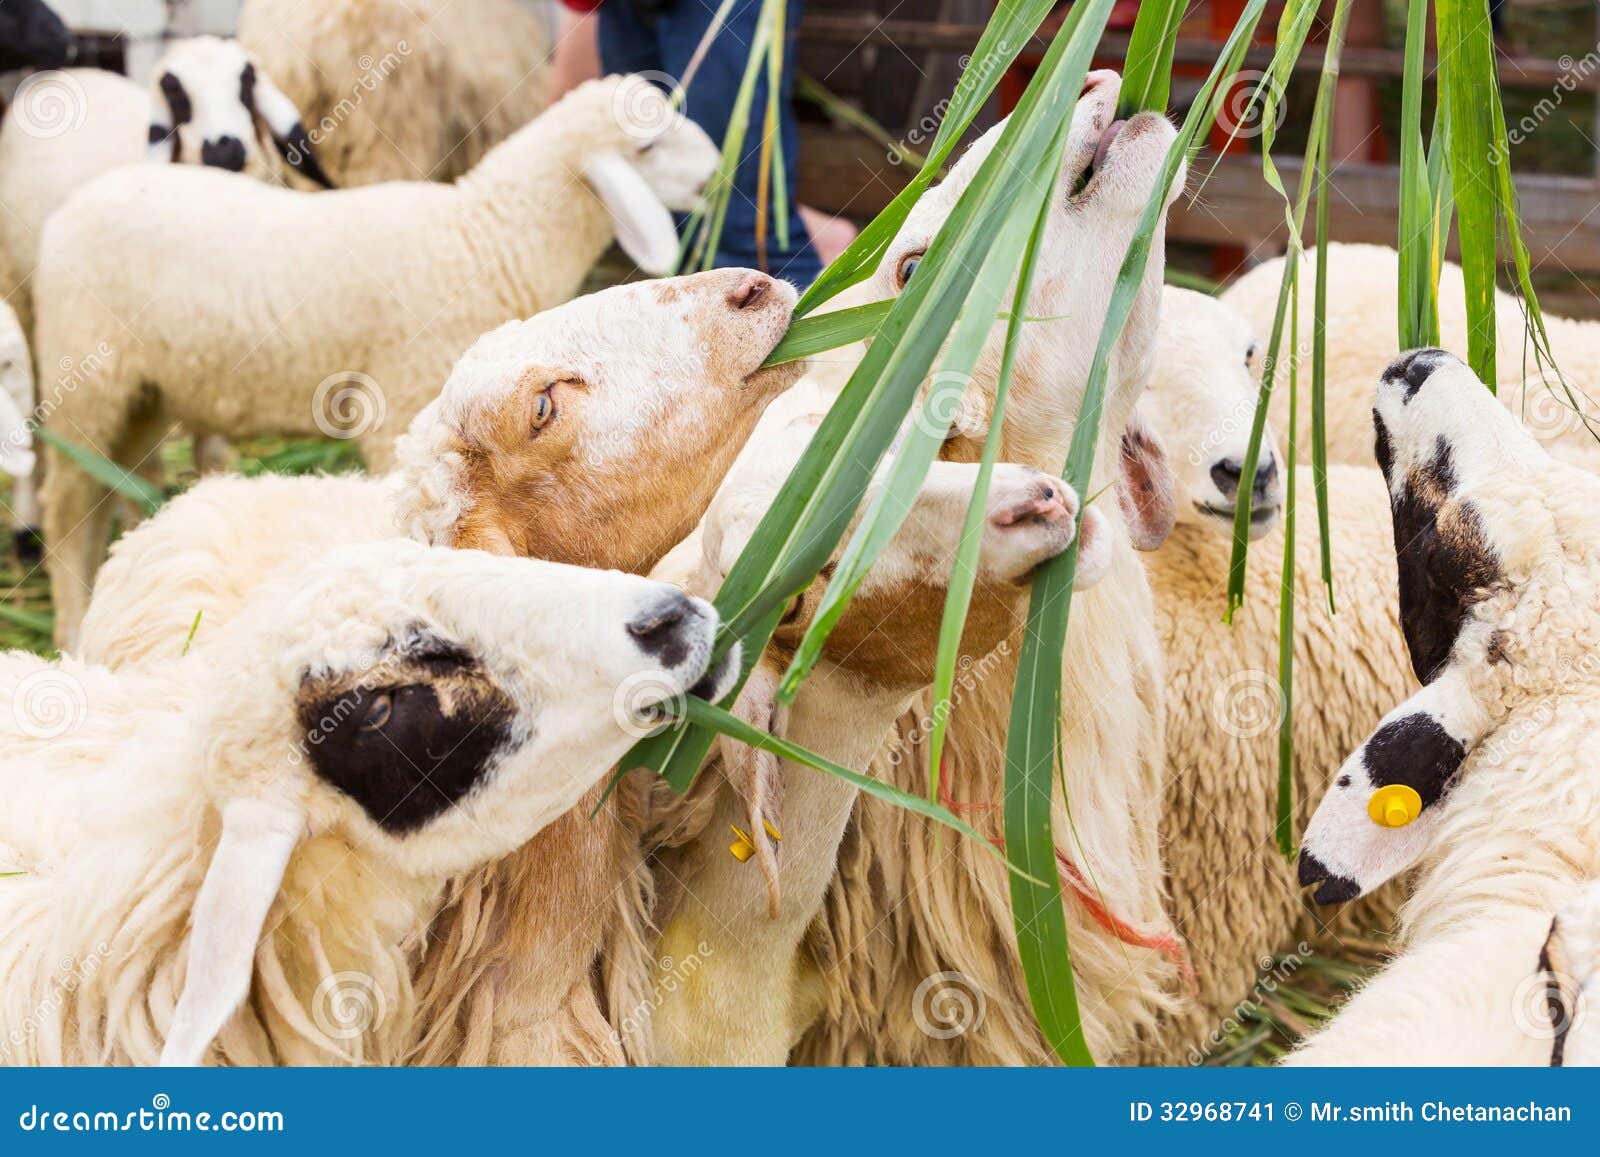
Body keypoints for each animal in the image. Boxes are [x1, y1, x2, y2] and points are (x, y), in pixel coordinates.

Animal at [35, 74, 720, 645]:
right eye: (649, 145)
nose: (715, 171)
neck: (484, 235)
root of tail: (74, 203)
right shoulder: (400, 395)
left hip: (144, 391)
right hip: (84, 380)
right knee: (65, 506)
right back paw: (68, 625)